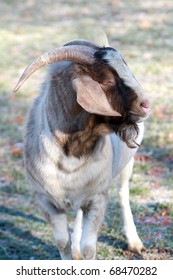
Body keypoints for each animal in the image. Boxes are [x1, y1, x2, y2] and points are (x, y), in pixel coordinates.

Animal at [13, 38, 150, 260]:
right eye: (106, 81)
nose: (146, 104)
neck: (70, 157)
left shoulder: (97, 198)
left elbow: (89, 248)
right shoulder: (46, 200)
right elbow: (62, 243)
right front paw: (72, 252)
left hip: (126, 164)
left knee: (123, 194)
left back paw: (135, 243)